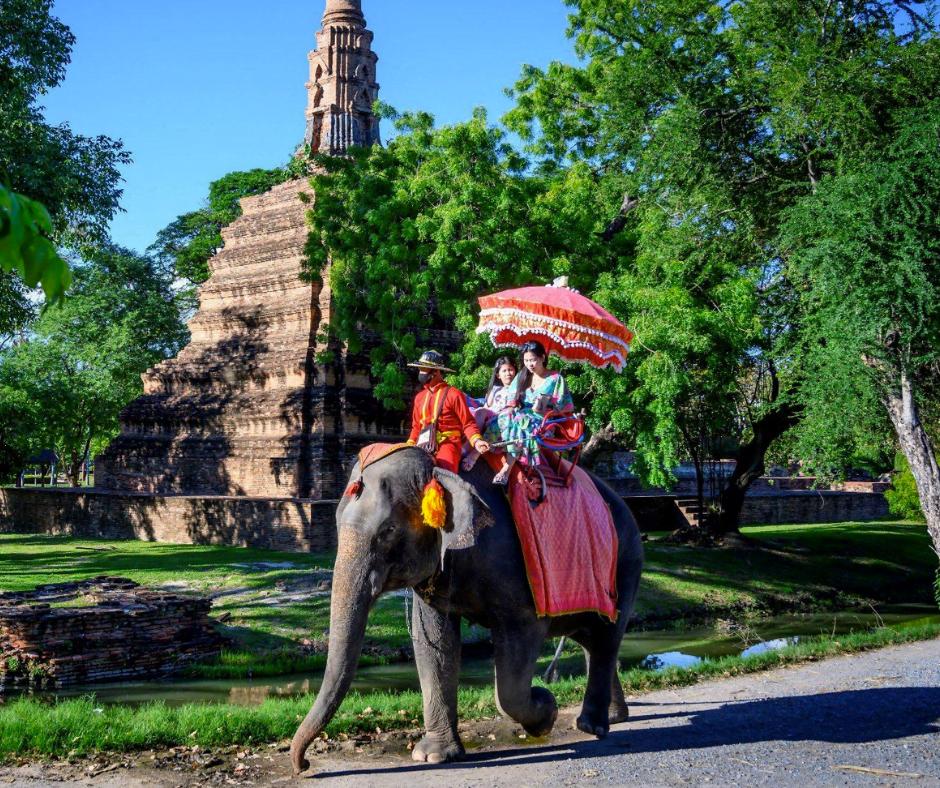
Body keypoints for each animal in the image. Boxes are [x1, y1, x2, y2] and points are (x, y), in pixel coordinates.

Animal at [290, 446, 644, 772]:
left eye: (388, 531)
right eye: (337, 525)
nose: (303, 765)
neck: (441, 468)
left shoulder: (513, 569)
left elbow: (517, 648)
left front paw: (545, 710)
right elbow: (434, 642)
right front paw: (433, 756)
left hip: (626, 562)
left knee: (606, 638)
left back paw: (591, 725)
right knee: (591, 642)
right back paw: (614, 717)